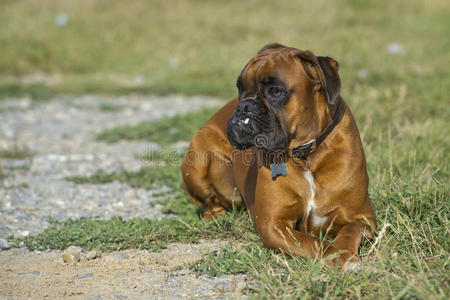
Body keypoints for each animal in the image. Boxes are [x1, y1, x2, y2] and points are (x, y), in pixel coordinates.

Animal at [182, 42, 376, 270]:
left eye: (275, 91)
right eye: (240, 88)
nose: (244, 106)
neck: (305, 156)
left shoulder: (362, 218)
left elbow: (348, 233)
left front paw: (344, 253)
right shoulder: (274, 225)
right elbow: (314, 243)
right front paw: (337, 255)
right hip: (197, 160)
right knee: (210, 203)